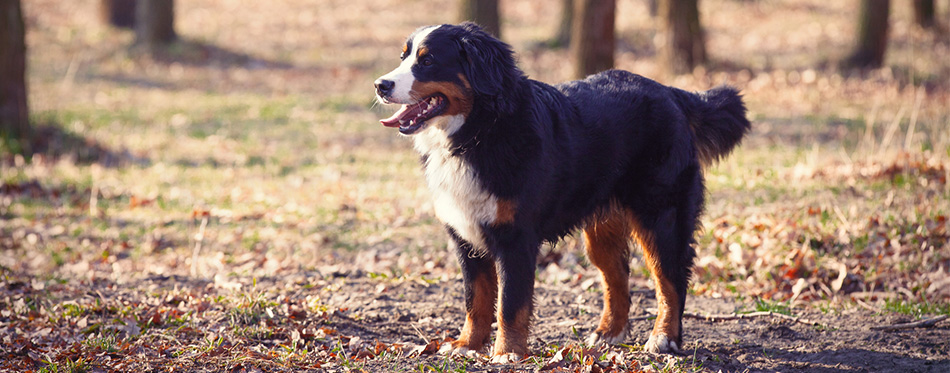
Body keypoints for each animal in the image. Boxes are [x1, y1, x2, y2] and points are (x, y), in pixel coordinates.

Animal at [372, 22, 752, 360]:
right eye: (404, 56)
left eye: (428, 61)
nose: (380, 84)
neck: (478, 132)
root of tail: (670, 92)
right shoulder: (465, 236)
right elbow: (475, 299)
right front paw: (468, 345)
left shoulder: (516, 238)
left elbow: (510, 304)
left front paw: (507, 353)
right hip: (602, 230)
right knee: (618, 278)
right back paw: (609, 333)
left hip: (661, 216)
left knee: (670, 280)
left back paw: (664, 338)